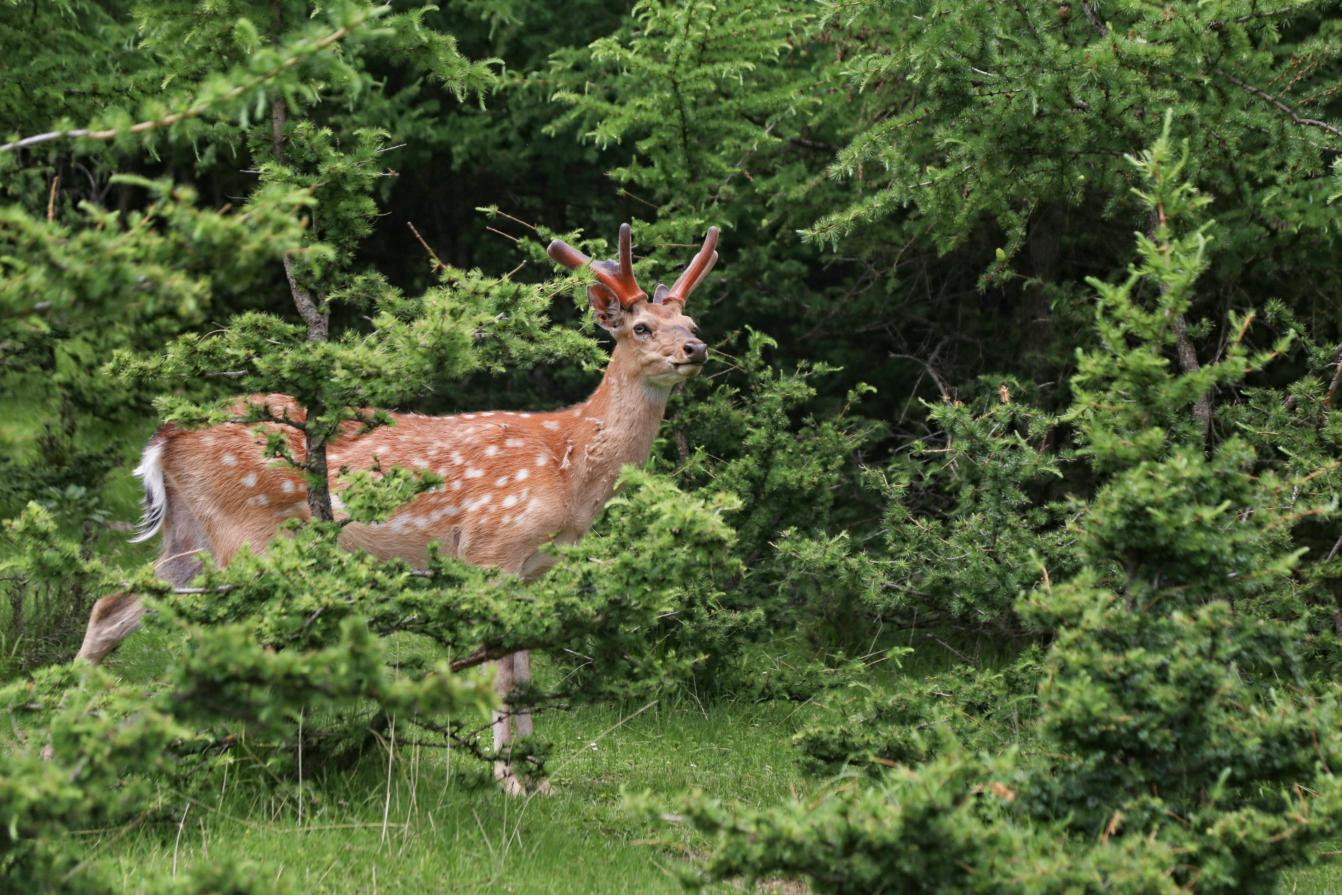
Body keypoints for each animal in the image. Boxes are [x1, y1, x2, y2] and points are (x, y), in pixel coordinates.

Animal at [74, 223, 719, 795]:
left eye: (689, 321)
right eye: (640, 327)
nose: (696, 348)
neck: (570, 465)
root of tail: (166, 437)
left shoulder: (534, 571)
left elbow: (523, 670)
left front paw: (539, 780)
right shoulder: (490, 548)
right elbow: (498, 673)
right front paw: (508, 781)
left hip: (189, 537)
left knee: (111, 607)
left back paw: (71, 718)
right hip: (245, 533)